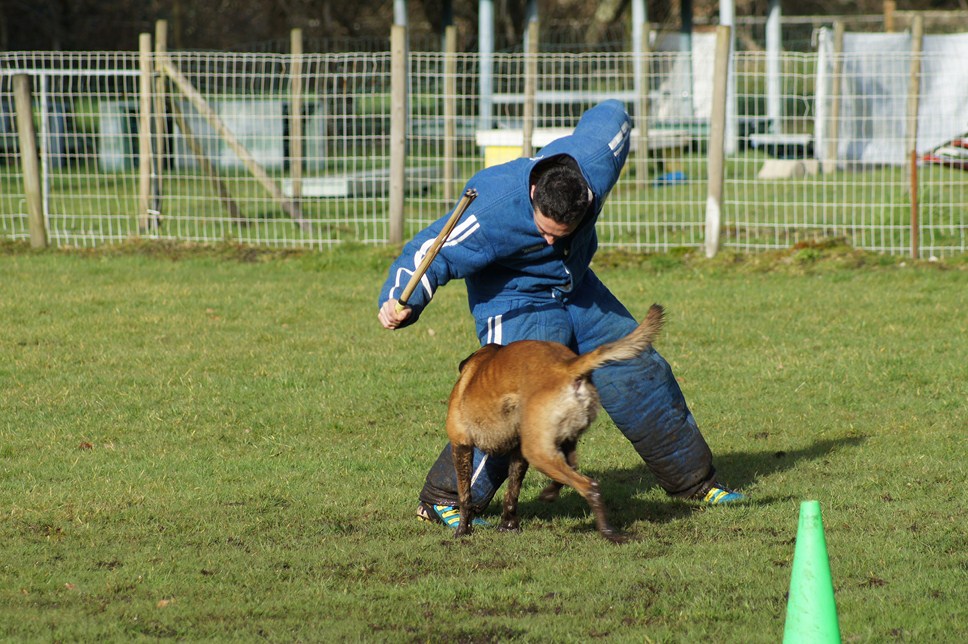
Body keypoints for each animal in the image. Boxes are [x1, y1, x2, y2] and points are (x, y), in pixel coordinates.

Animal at [448, 304, 664, 540]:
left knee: (590, 486)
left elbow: (465, 497)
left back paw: (610, 532)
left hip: (537, 452)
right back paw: (551, 493)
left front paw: (462, 531)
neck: (478, 365)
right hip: (556, 442)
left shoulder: (461, 445)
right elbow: (511, 494)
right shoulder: (518, 454)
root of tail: (566, 366)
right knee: (572, 466)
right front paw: (509, 526)